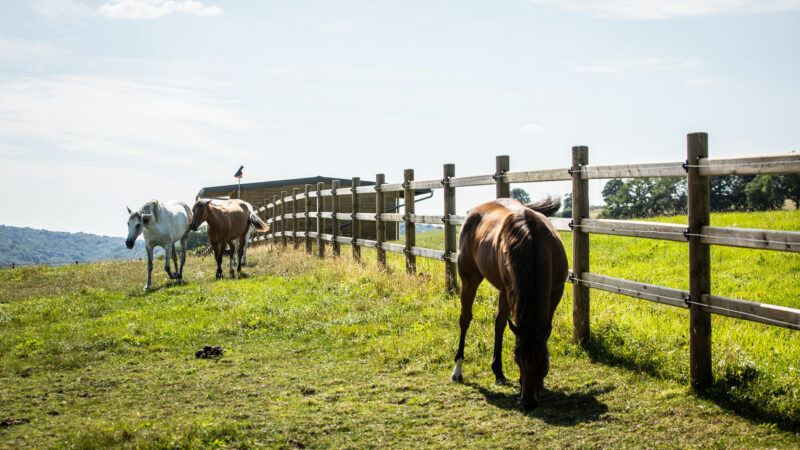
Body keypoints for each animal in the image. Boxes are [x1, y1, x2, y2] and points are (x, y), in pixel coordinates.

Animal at [450, 195, 568, 410]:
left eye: (543, 360)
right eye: (517, 358)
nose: (528, 401)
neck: (534, 242)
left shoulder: (556, 291)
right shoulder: (511, 290)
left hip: (502, 291)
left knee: (499, 323)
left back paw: (498, 371)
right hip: (470, 279)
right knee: (465, 319)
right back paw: (458, 370)